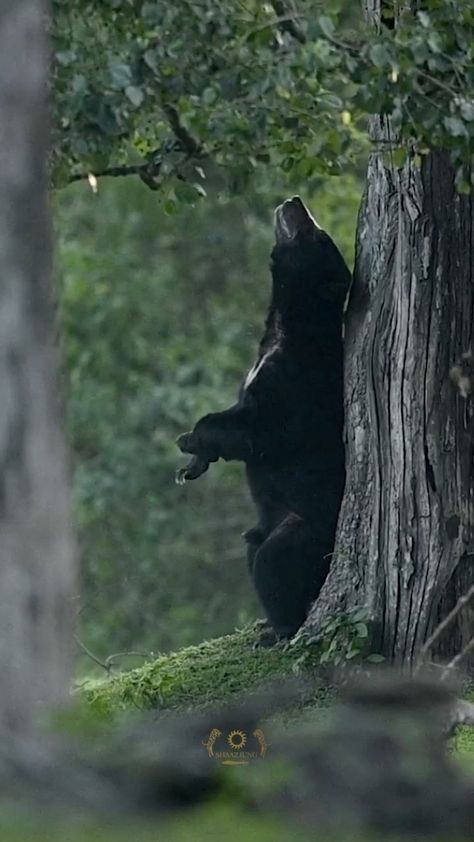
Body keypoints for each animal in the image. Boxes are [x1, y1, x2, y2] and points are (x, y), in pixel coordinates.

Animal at [176, 194, 350, 632]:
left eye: (316, 235)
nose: (294, 201)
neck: (285, 327)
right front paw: (193, 463)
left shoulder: (294, 384)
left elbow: (257, 432)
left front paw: (191, 438)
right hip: (261, 525)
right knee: (252, 548)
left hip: (304, 525)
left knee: (276, 561)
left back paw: (280, 628)